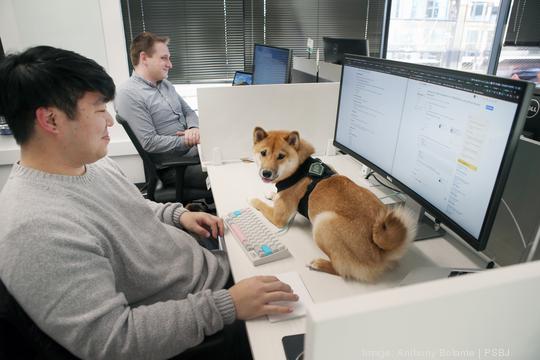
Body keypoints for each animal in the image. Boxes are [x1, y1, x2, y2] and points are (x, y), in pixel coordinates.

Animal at [250, 128, 418, 282]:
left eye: (281, 156)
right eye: (263, 153)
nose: (266, 173)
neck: (300, 169)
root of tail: (381, 253)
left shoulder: (279, 218)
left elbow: (261, 205)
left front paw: (252, 200)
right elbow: (274, 196)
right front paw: (272, 194)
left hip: (323, 223)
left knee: (342, 269)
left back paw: (319, 264)